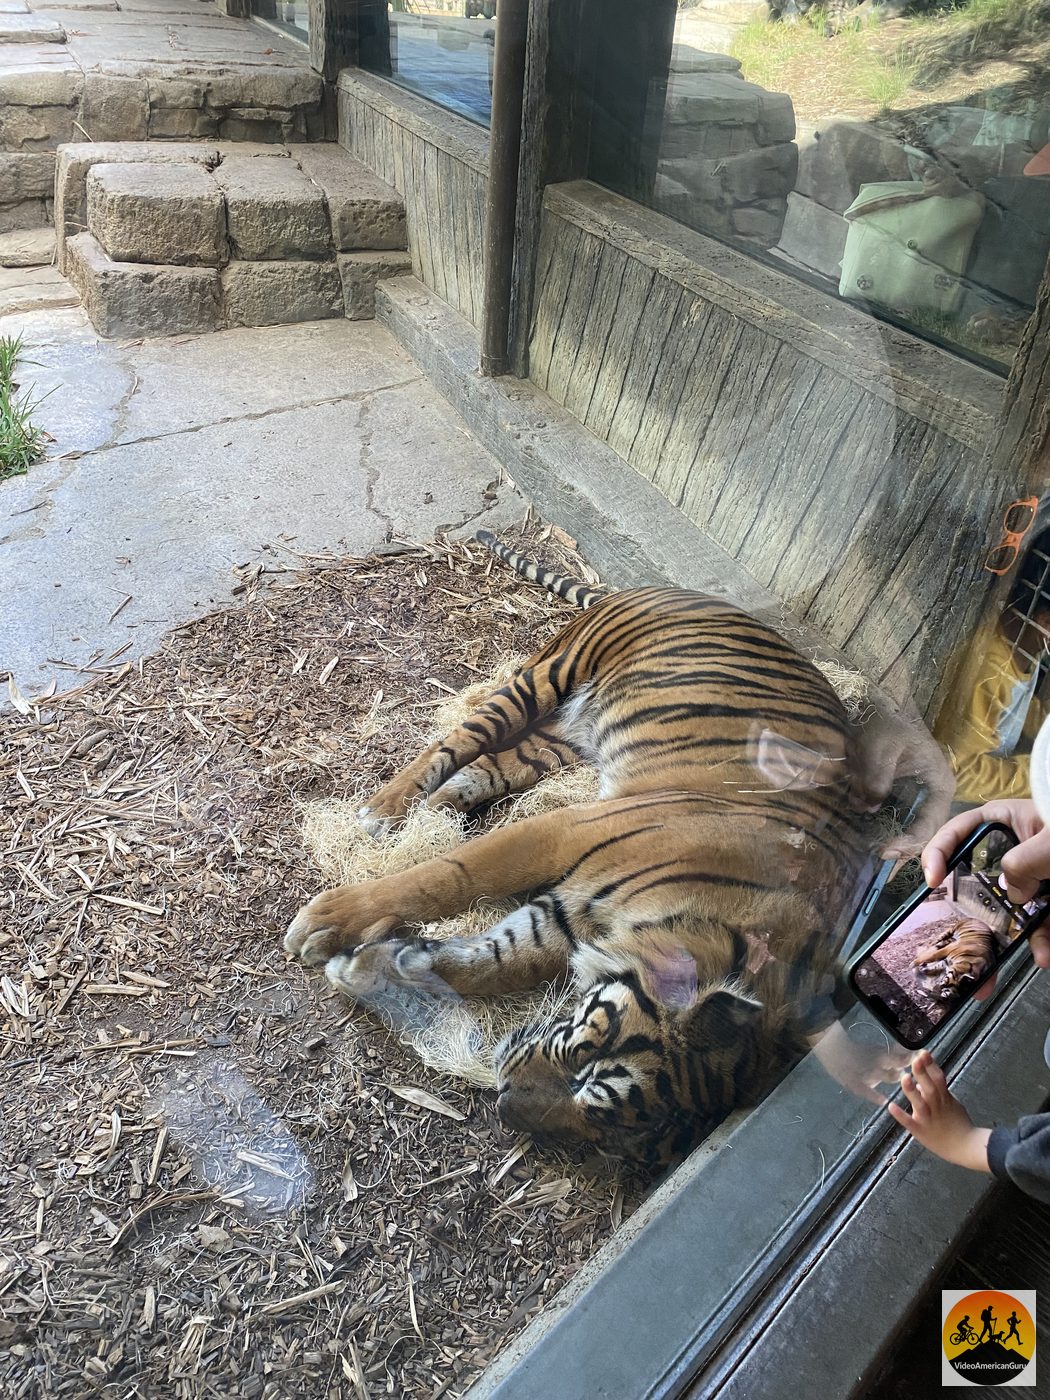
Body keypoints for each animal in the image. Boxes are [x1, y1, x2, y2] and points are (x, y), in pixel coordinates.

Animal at [285, 530, 930, 1165]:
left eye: (610, 1130)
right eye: (584, 1067)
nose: (504, 1104)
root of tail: (678, 592)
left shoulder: (564, 919)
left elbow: (489, 964)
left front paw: (377, 965)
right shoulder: (564, 831)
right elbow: (450, 875)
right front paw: (329, 925)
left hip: (561, 740)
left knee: (490, 766)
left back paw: (438, 811)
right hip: (548, 674)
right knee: (458, 740)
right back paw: (384, 811)